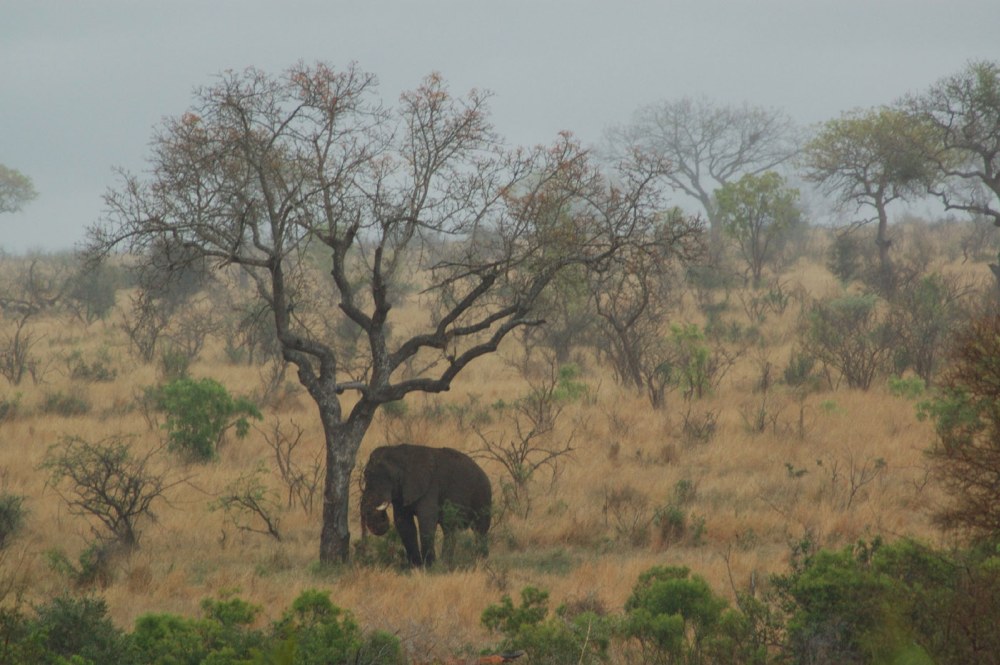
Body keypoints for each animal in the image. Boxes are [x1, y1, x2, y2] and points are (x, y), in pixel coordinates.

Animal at [360, 440, 492, 564]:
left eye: (393, 478)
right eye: (365, 475)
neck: (401, 453)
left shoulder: (430, 486)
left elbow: (426, 520)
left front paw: (429, 566)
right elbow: (404, 524)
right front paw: (416, 566)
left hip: (483, 495)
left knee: (480, 529)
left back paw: (480, 560)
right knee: (449, 529)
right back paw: (447, 563)